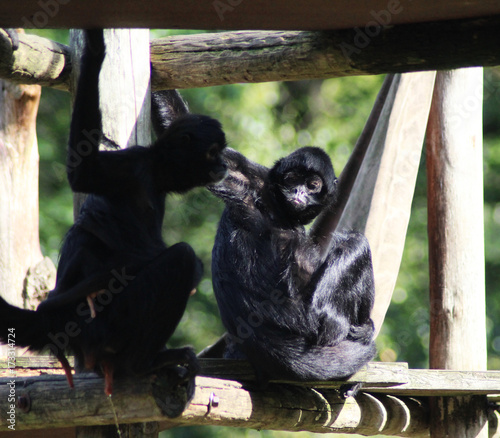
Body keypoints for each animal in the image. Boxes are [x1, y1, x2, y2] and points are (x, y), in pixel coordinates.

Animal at [0, 28, 227, 396]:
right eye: (213, 151)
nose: (223, 163)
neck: (155, 171)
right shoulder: (132, 166)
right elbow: (83, 172)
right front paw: (96, 49)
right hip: (108, 325)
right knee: (182, 259)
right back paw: (141, 363)